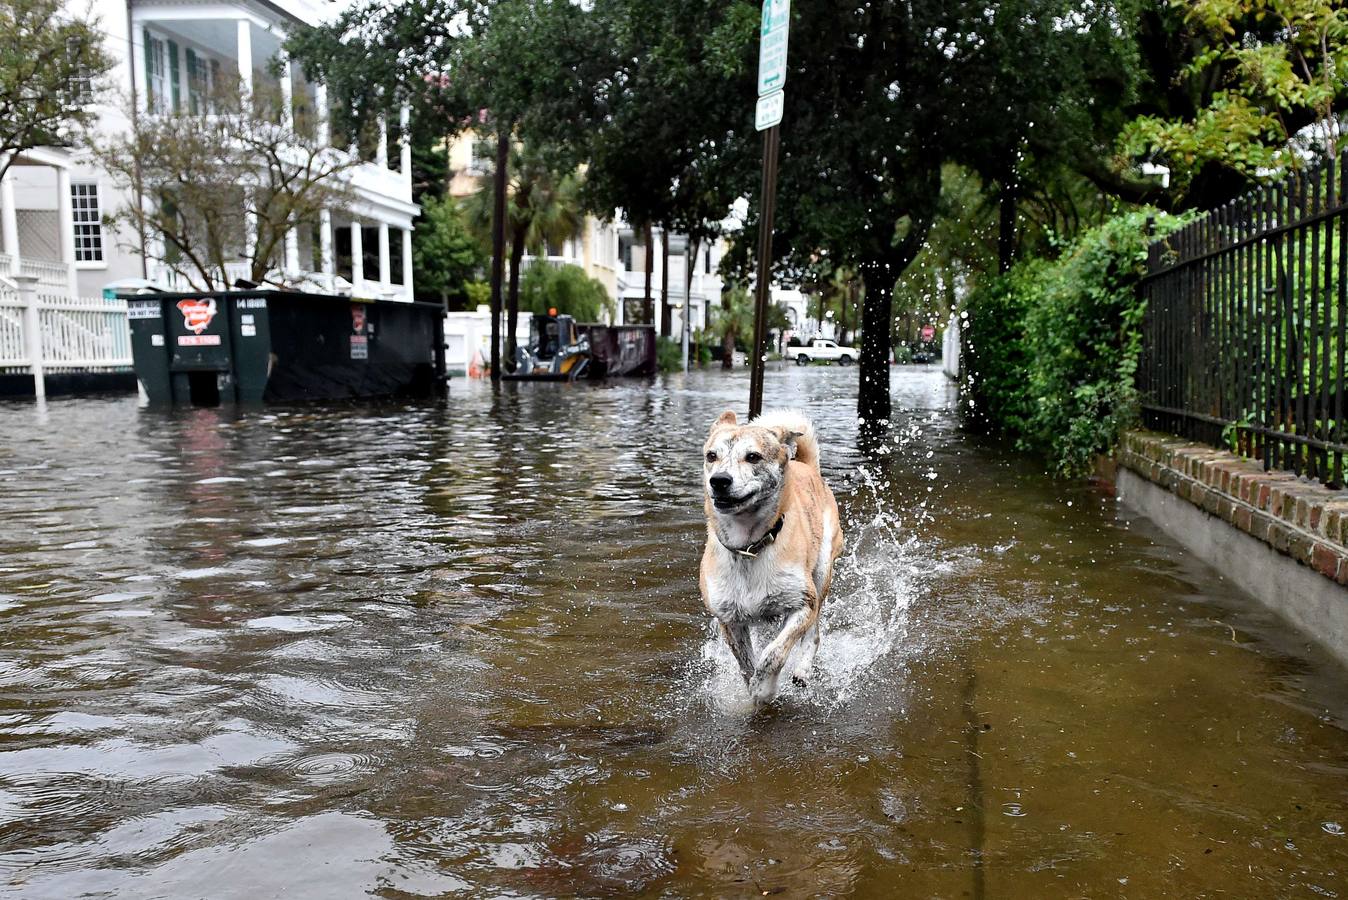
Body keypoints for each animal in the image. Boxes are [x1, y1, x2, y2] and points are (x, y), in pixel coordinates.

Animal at [695, 409, 841, 711]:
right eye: (711, 455)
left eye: (753, 456)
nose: (719, 480)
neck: (749, 548)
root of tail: (806, 466)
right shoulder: (729, 620)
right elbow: (746, 664)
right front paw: (752, 691)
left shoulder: (802, 605)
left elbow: (773, 654)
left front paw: (765, 690)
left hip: (822, 571)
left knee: (814, 633)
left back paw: (803, 670)